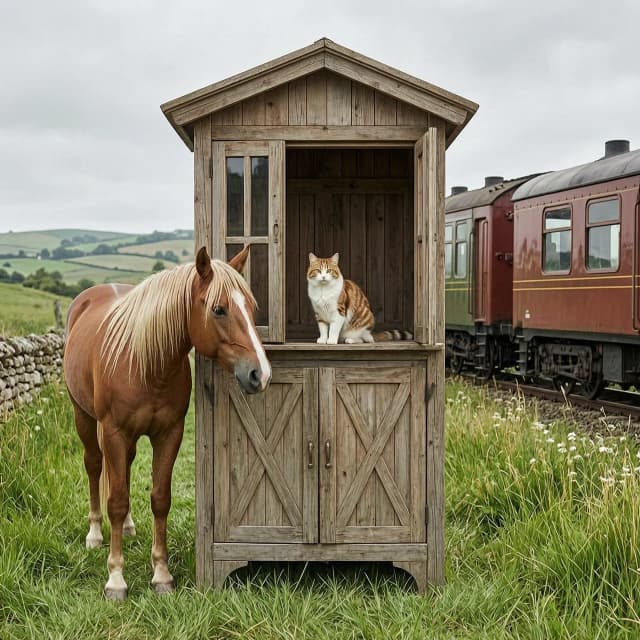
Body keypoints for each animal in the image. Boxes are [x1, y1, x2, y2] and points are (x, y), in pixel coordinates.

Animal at [63, 245, 271, 600]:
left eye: (252, 307)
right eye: (219, 309)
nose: (261, 374)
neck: (145, 364)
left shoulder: (169, 434)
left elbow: (160, 499)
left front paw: (161, 574)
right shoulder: (114, 432)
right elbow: (116, 500)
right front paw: (115, 578)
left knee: (124, 471)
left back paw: (128, 527)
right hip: (84, 418)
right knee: (94, 466)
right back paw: (95, 533)